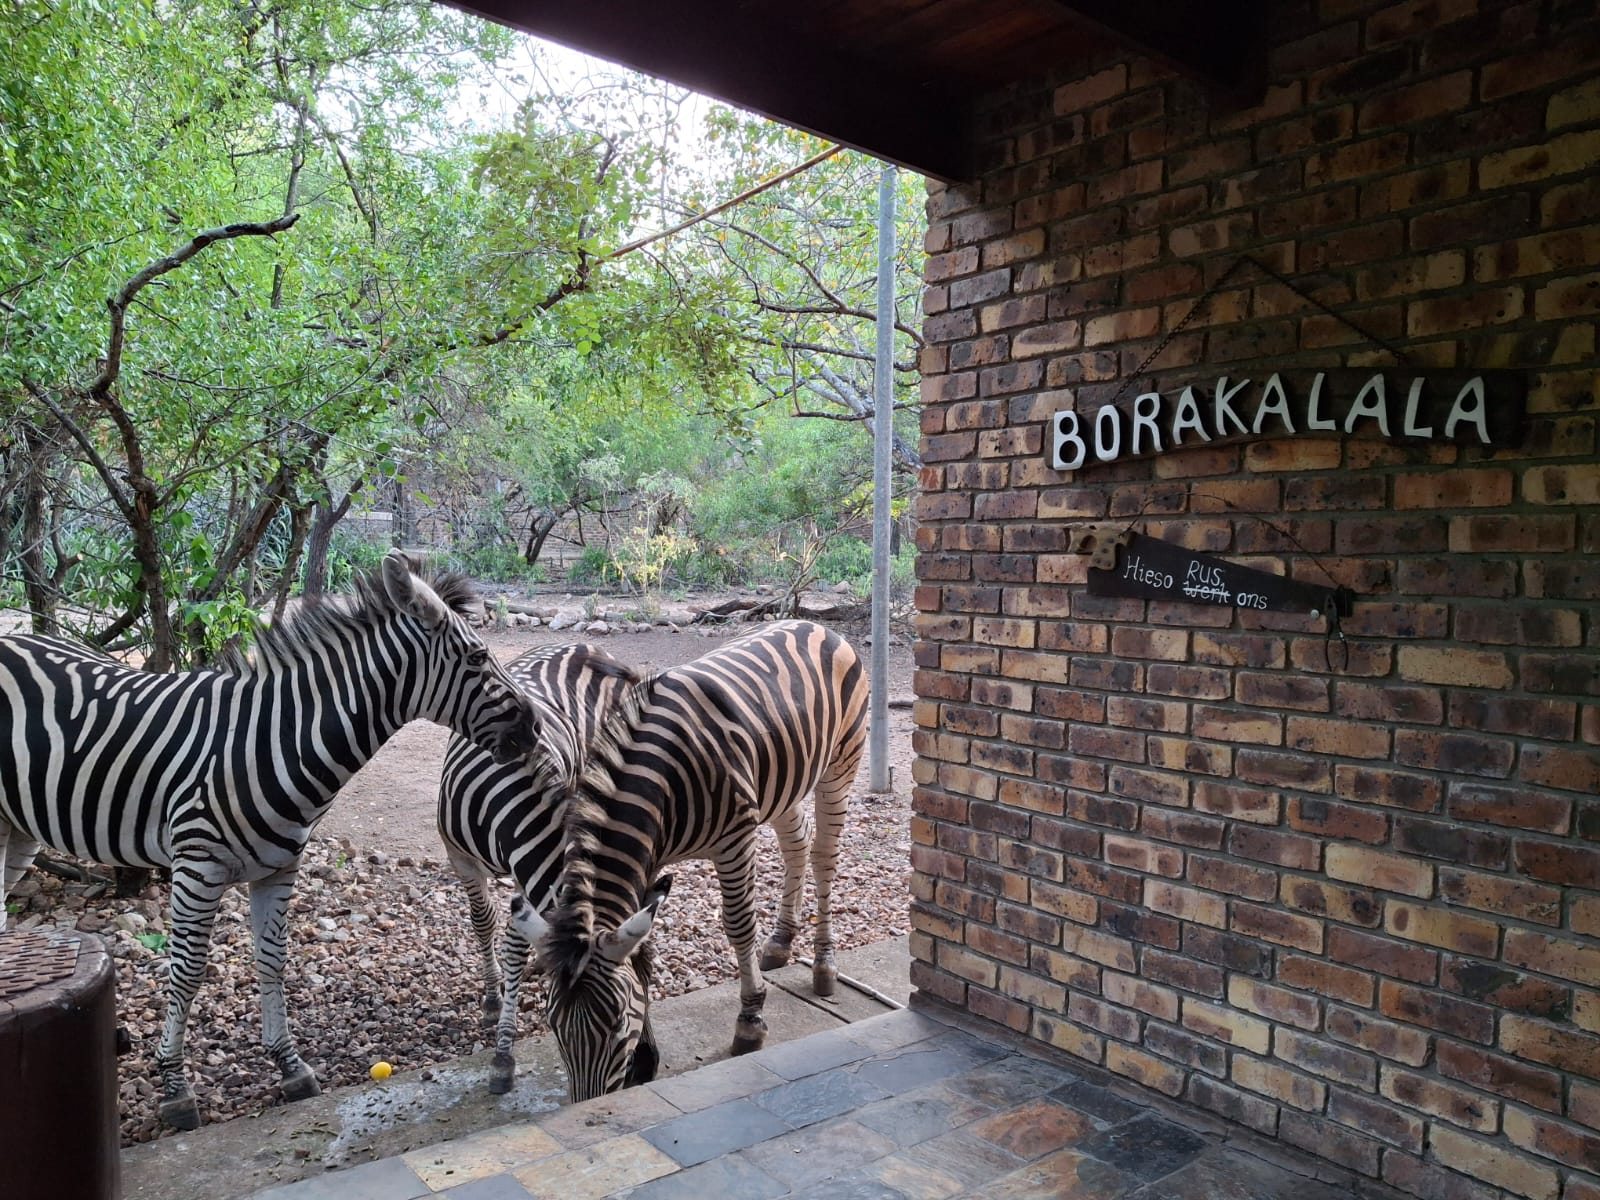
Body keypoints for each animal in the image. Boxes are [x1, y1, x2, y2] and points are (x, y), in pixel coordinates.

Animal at [0, 550, 537, 1130]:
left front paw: (289, 1065)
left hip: (17, 827)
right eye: (479, 657)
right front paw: (175, 1087)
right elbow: (187, 971)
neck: (273, 740)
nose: (533, 728)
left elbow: (273, 959)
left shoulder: (279, 867)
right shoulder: (197, 866)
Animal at [436, 640, 643, 1094]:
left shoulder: (526, 873)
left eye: (622, 1023)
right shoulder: (459, 857)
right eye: (556, 1030)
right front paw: (493, 1000)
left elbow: (515, 943)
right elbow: (482, 921)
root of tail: (583, 644)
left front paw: (503, 1052)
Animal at [506, 619, 868, 1102]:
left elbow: (738, 925)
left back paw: (824, 965)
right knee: (798, 844)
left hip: (840, 763)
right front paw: (647, 1056)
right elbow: (643, 948)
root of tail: (814, 625)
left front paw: (749, 1023)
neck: (661, 781)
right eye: (554, 1027)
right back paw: (780, 942)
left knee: (825, 856)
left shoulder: (735, 839)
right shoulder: (648, 862)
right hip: (783, 784)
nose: (586, 1107)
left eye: (616, 1024)